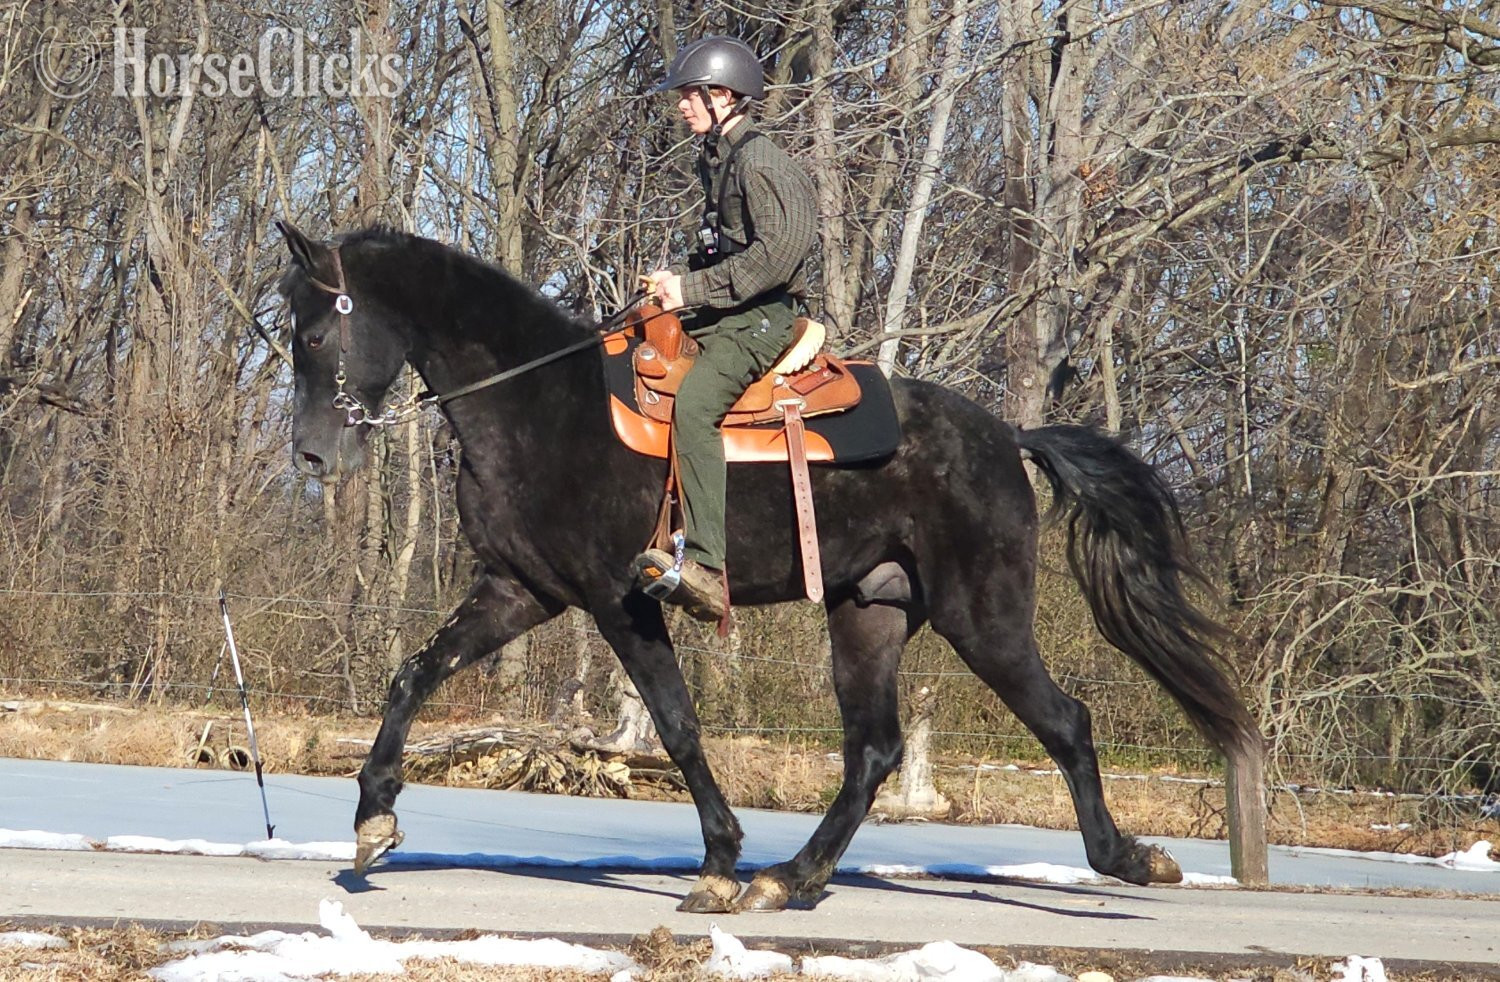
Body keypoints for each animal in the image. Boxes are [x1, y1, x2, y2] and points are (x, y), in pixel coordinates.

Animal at [276, 222, 1262, 913]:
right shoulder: (521, 592)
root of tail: (1006, 436)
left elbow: (676, 726)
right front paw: (373, 818)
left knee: (1064, 723)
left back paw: (1128, 859)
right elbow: (415, 672)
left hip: (984, 616)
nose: (316, 457)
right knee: (874, 750)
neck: (537, 402)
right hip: (868, 614)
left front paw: (717, 860)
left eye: (316, 335)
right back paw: (793, 877)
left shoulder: (618, 600)